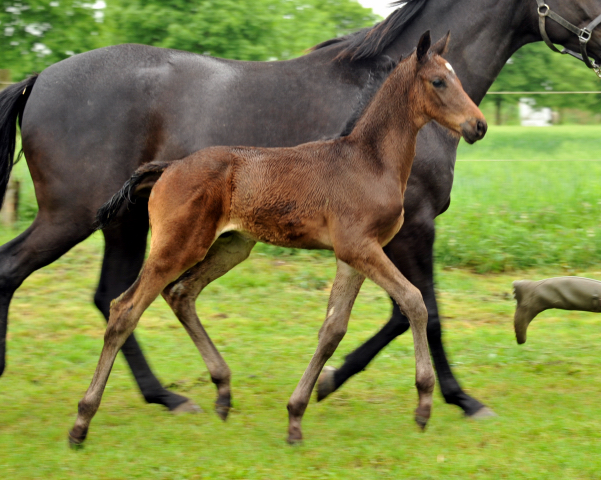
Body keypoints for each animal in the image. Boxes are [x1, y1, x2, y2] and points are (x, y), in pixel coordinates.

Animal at [68, 31, 486, 446]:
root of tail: (169, 167)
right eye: (439, 81)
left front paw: (296, 415)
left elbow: (333, 328)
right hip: (178, 246)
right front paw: (424, 402)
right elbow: (415, 302)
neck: (370, 161)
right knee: (125, 309)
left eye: (457, 77)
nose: (478, 126)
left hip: (232, 246)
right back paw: (82, 421)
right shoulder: (360, 247)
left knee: (180, 293)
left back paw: (222, 391)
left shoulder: (352, 255)